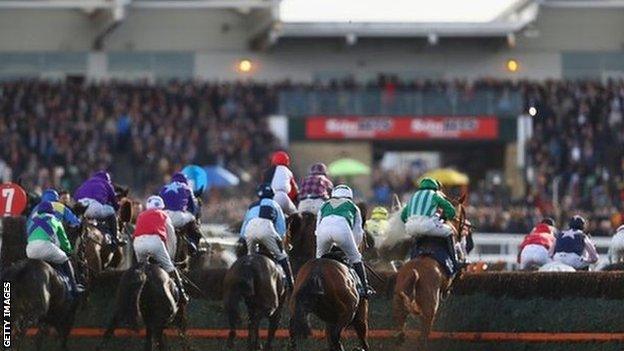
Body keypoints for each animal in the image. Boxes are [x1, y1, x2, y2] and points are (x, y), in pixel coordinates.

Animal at [390, 197, 472, 350]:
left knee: (399, 334)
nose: (468, 226)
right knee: (422, 339)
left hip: (398, 302)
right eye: (464, 212)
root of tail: (414, 273)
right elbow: (461, 270)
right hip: (429, 309)